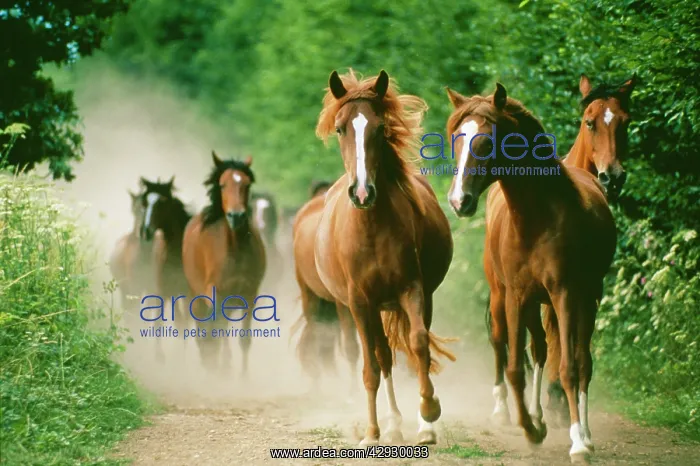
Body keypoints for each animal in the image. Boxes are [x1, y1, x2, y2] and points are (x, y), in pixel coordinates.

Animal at [181, 151, 266, 375]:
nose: (236, 216)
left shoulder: (249, 294)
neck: (235, 250)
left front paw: (243, 378)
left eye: (246, 184)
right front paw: (218, 370)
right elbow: (214, 332)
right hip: (197, 295)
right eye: (222, 185)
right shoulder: (215, 294)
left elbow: (244, 339)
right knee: (206, 332)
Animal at [314, 69, 456, 446]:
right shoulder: (359, 303)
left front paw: (429, 412)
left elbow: (419, 344)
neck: (371, 230)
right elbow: (372, 366)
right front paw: (372, 433)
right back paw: (390, 424)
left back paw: (419, 424)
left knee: (411, 347)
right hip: (372, 307)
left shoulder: (412, 288)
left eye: (380, 128)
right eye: (340, 128)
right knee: (383, 355)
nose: (362, 193)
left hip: (416, 299)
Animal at [445, 83, 617, 462]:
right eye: (456, 139)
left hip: (587, 299)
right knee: (537, 348)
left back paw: (584, 434)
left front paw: (577, 442)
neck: (537, 220)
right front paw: (530, 428)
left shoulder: (565, 294)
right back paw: (536, 416)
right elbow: (514, 367)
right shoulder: (516, 295)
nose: (459, 201)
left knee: (582, 361)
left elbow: (569, 368)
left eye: (486, 142)